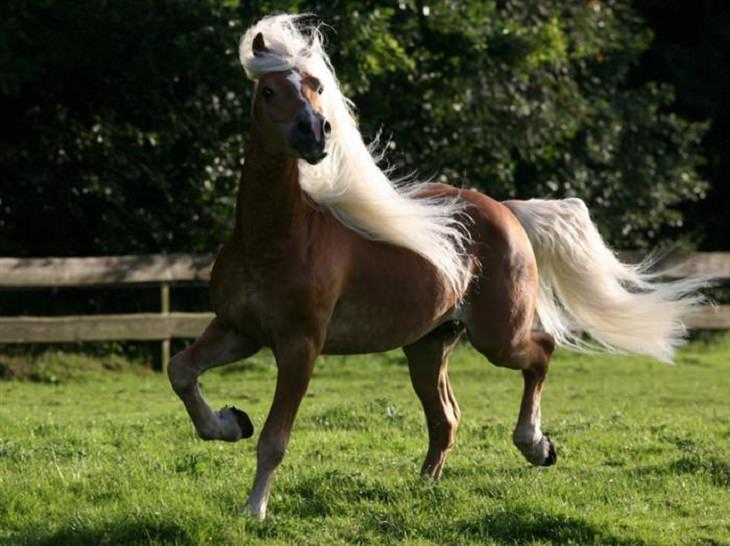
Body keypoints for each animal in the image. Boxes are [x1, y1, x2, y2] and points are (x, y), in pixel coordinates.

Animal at [168, 13, 704, 520]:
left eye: (318, 86)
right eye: (268, 90)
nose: (315, 132)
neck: (274, 239)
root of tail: (506, 209)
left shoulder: (300, 347)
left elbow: (274, 439)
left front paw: (254, 510)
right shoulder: (239, 330)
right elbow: (181, 372)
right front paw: (231, 422)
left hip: (496, 337)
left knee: (542, 351)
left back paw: (535, 445)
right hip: (428, 346)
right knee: (446, 418)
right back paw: (422, 490)